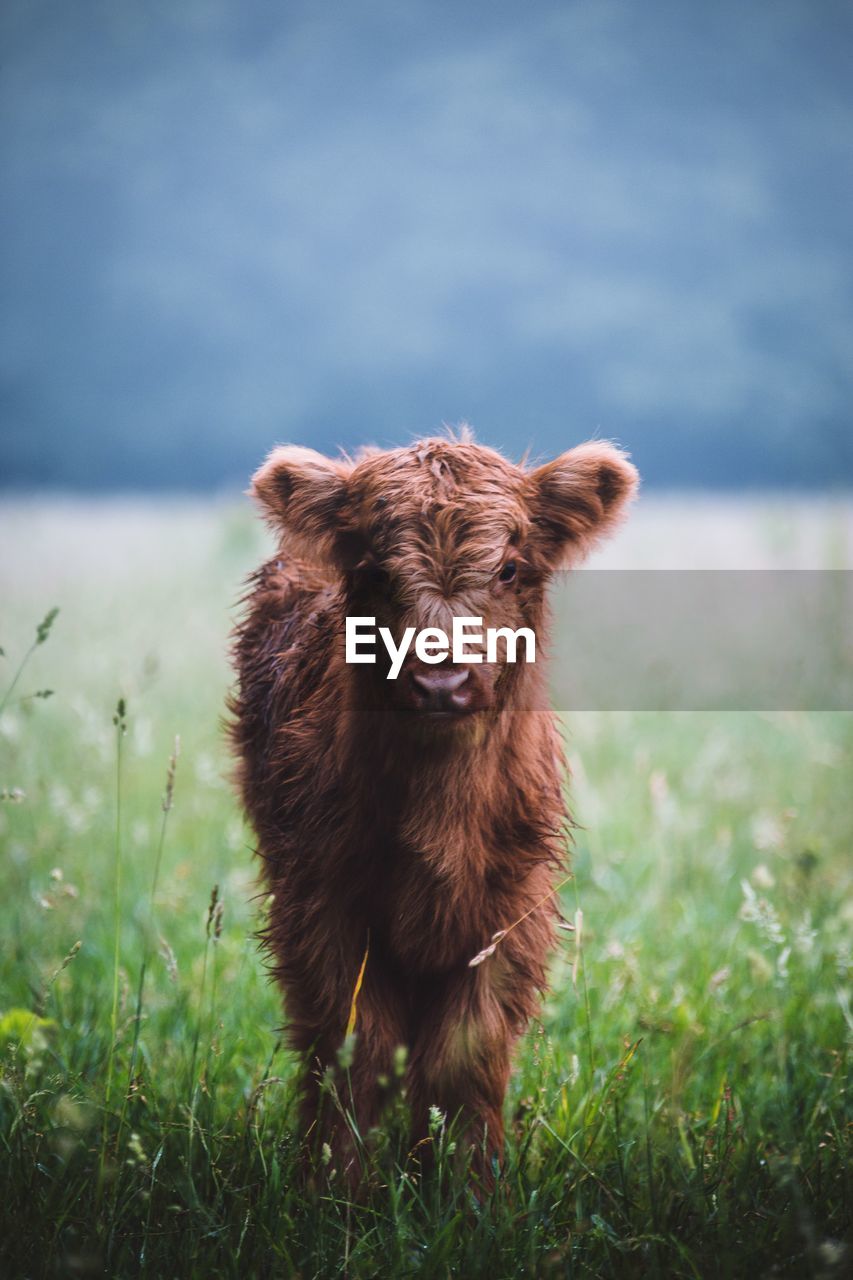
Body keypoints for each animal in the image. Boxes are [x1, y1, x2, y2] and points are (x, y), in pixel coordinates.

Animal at [229, 432, 635, 1187]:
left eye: (508, 568)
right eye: (376, 572)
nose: (441, 680)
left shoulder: (509, 915)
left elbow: (460, 1058)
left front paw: (468, 1187)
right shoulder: (322, 907)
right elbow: (356, 1050)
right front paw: (335, 1185)